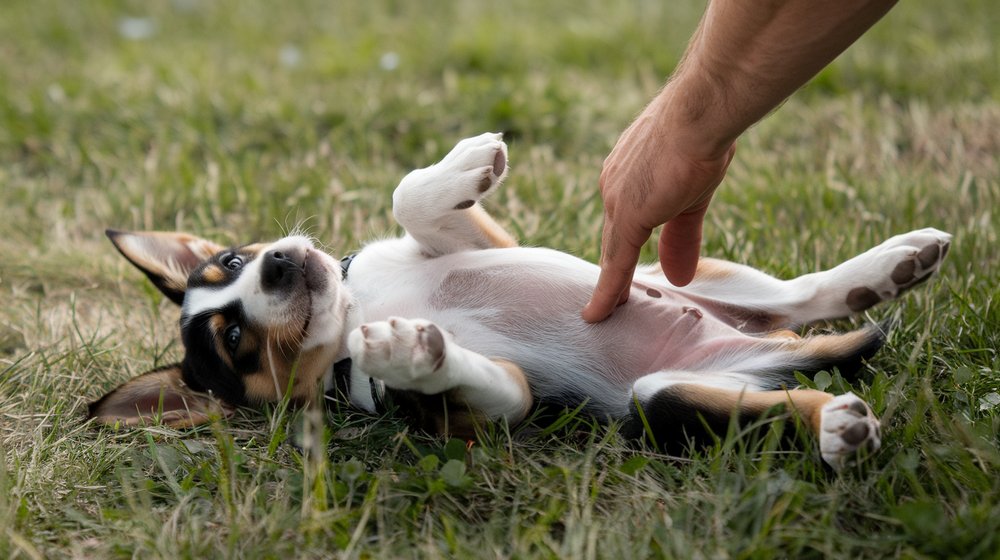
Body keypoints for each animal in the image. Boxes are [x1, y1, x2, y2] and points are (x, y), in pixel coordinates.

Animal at [92, 133, 952, 470]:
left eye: (230, 262)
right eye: (235, 339)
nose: (275, 265)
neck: (352, 307)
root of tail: (753, 343)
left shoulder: (471, 239)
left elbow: (412, 198)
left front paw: (464, 163)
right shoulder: (502, 402)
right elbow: (462, 374)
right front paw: (409, 348)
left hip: (683, 272)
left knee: (796, 297)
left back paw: (888, 267)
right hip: (659, 399)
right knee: (756, 393)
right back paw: (834, 426)